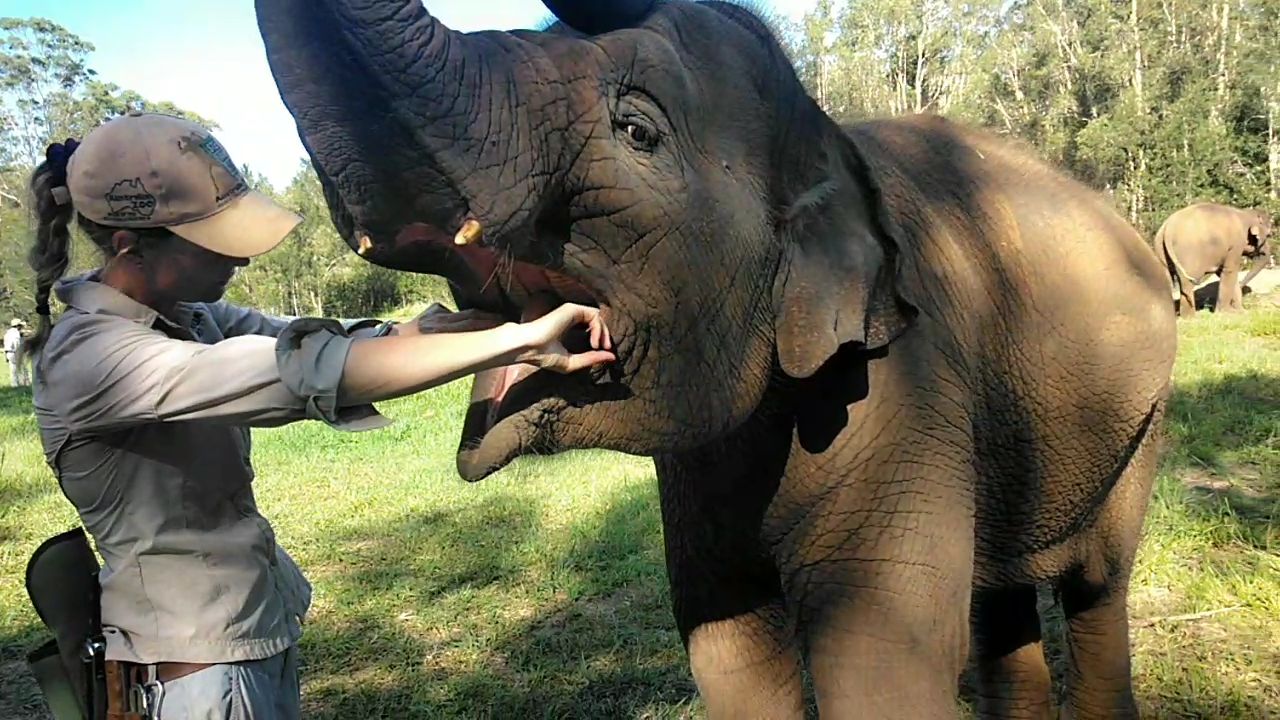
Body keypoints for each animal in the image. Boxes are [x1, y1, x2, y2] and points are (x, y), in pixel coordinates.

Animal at [256, 1, 1178, 717]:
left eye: (636, 129)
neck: (823, 135)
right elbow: (727, 645)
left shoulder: (909, 385)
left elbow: (881, 657)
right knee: (1002, 601)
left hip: (1144, 421)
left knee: (1096, 587)